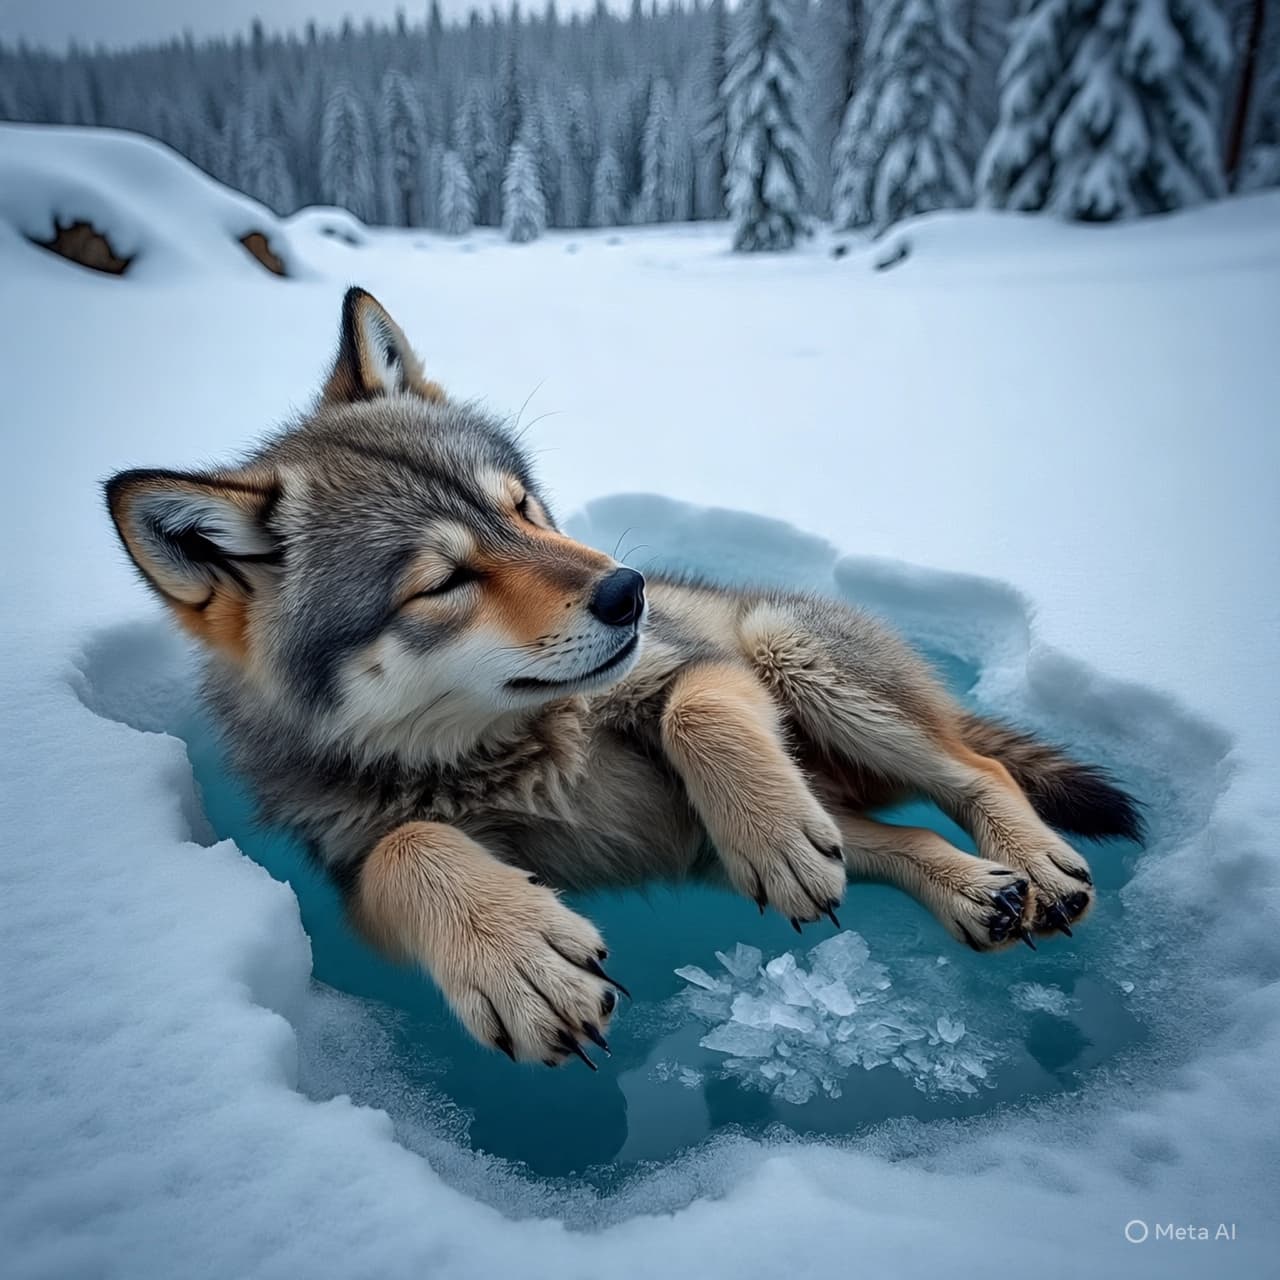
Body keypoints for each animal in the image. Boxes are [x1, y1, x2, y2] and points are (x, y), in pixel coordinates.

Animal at [105, 288, 1142, 1069]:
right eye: (442, 582)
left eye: (523, 510)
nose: (627, 590)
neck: (506, 752)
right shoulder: (354, 871)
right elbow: (412, 847)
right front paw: (517, 958)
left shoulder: (691, 668)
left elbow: (697, 710)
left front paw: (767, 828)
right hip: (753, 833)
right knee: (893, 837)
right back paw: (981, 893)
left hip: (789, 653)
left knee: (977, 769)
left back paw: (1030, 865)